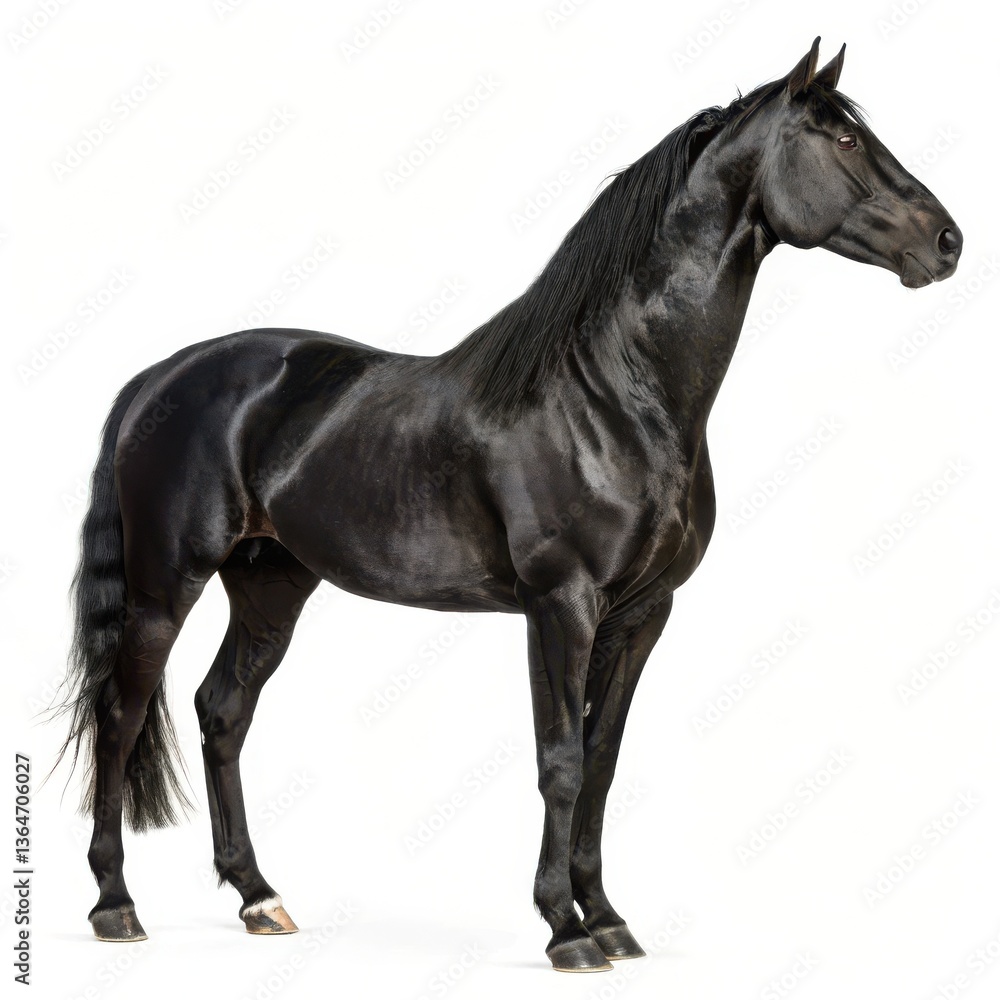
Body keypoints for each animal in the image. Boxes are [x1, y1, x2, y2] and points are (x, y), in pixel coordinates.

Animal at [54, 37, 961, 972]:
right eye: (843, 140)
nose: (947, 241)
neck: (613, 397)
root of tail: (159, 376)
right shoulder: (559, 604)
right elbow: (559, 760)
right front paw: (565, 929)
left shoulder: (643, 613)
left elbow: (601, 761)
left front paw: (608, 918)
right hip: (167, 584)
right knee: (121, 716)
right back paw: (116, 905)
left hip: (272, 583)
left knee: (222, 712)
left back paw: (259, 897)